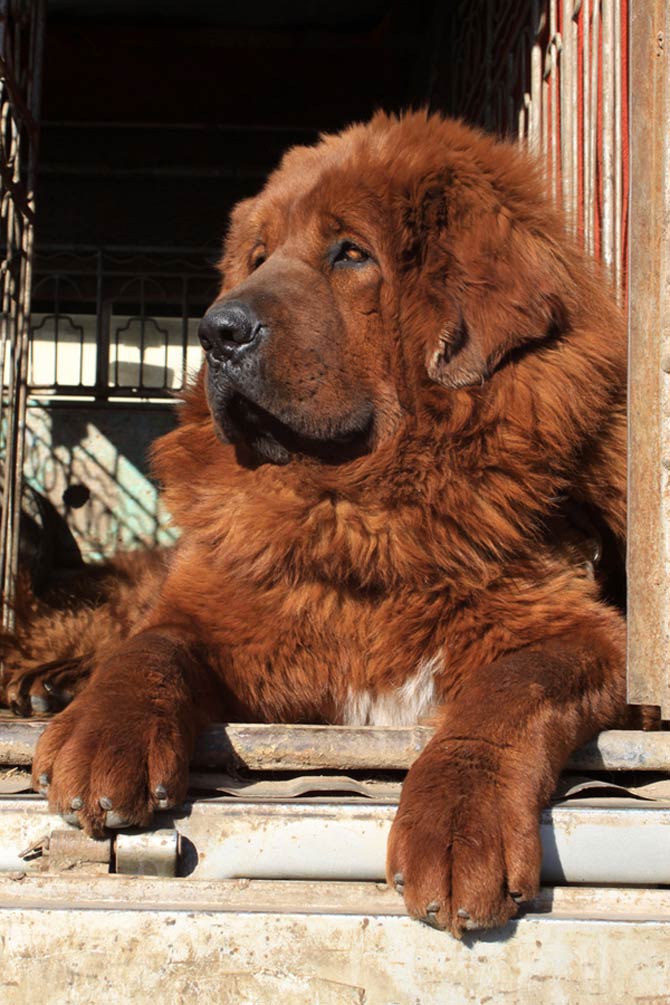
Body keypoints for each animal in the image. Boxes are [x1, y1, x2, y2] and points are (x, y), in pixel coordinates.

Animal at [2, 110, 630, 932]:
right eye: (257, 258)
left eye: (351, 253)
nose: (216, 331)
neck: (359, 513)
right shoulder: (214, 612)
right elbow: (151, 649)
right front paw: (102, 730)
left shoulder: (585, 633)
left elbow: (511, 688)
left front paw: (460, 820)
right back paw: (47, 686)